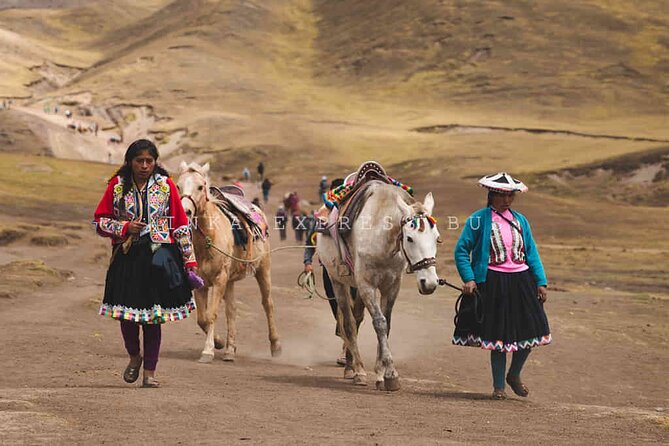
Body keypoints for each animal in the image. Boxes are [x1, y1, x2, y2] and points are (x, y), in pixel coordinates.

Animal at [176, 162, 280, 364]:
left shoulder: (219, 279)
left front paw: (208, 351)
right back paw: (230, 350)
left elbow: (211, 315)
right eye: (178, 186)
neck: (209, 237)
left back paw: (276, 346)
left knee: (268, 304)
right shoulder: (201, 284)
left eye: (200, 186)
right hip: (230, 281)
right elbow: (202, 318)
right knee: (232, 310)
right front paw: (218, 342)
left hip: (263, 269)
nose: (186, 211)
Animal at [318, 181, 440, 390]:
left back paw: (350, 365)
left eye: (436, 238)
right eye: (409, 238)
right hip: (338, 282)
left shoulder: (392, 286)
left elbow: (387, 324)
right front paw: (391, 374)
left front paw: (381, 374)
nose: (429, 283)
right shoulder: (367, 285)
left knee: (357, 318)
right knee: (349, 323)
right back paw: (357, 370)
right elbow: (379, 323)